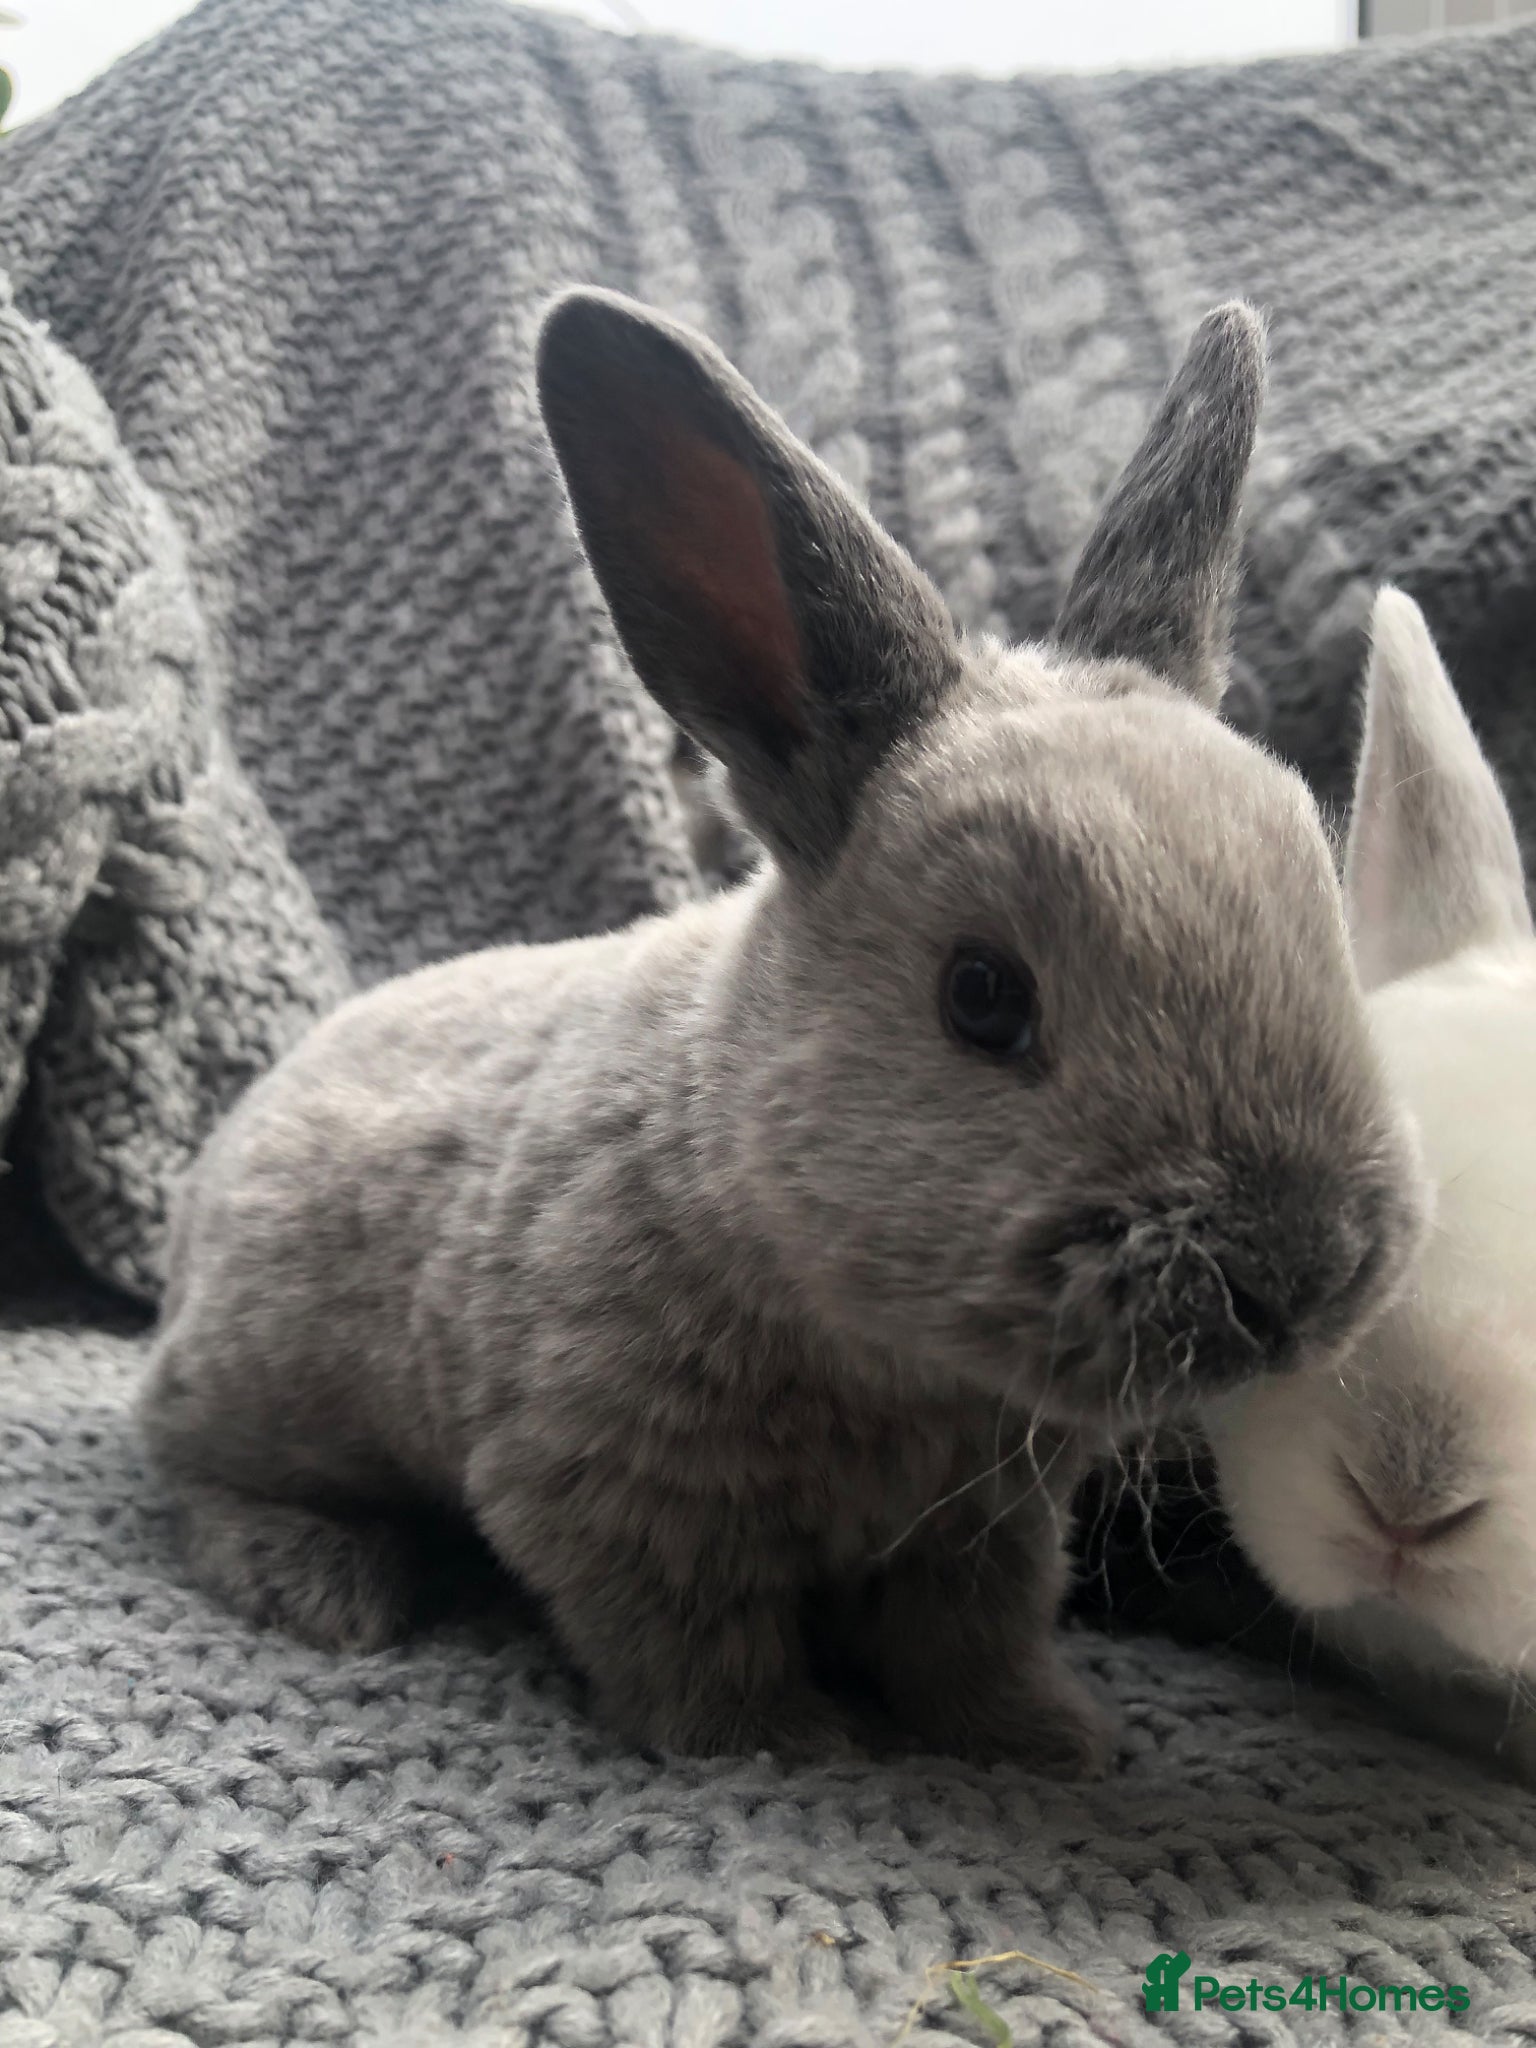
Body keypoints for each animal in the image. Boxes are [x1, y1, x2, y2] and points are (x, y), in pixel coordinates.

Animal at [137, 289, 1427, 1768]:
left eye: (1319, 911)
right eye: (982, 995)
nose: (1303, 1273)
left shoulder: (981, 1529)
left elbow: (970, 1644)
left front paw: (1054, 1738)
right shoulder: (613, 1491)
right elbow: (696, 1649)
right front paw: (792, 1749)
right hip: (265, 1384)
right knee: (183, 1462)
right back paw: (322, 1582)